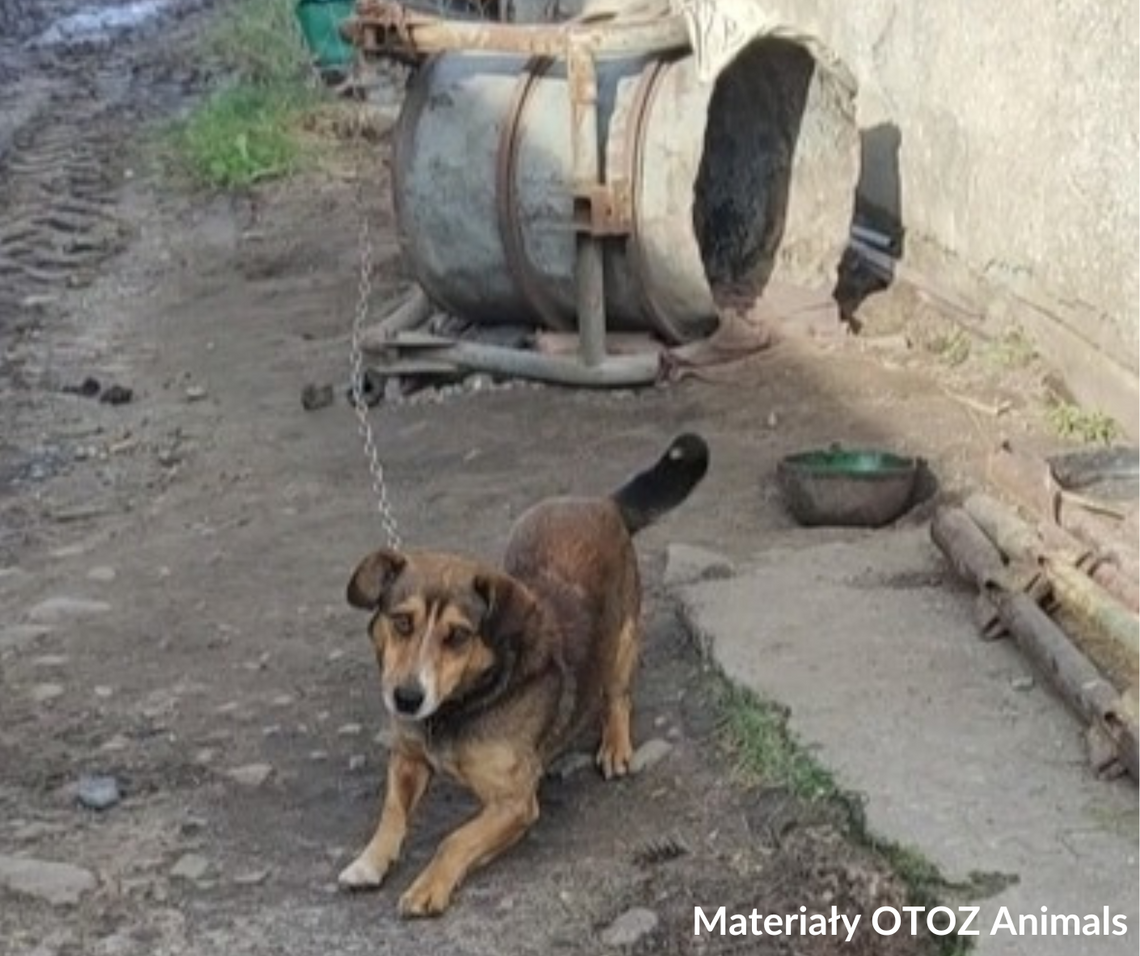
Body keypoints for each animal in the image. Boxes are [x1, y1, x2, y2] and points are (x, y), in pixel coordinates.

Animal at [337, 432, 706, 920]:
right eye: (401, 622)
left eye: (458, 636)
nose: (406, 698)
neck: (460, 705)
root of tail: (602, 503)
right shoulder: (407, 756)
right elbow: (392, 812)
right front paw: (369, 861)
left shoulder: (514, 802)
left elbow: (454, 839)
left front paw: (428, 886)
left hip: (622, 639)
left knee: (618, 696)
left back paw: (615, 745)